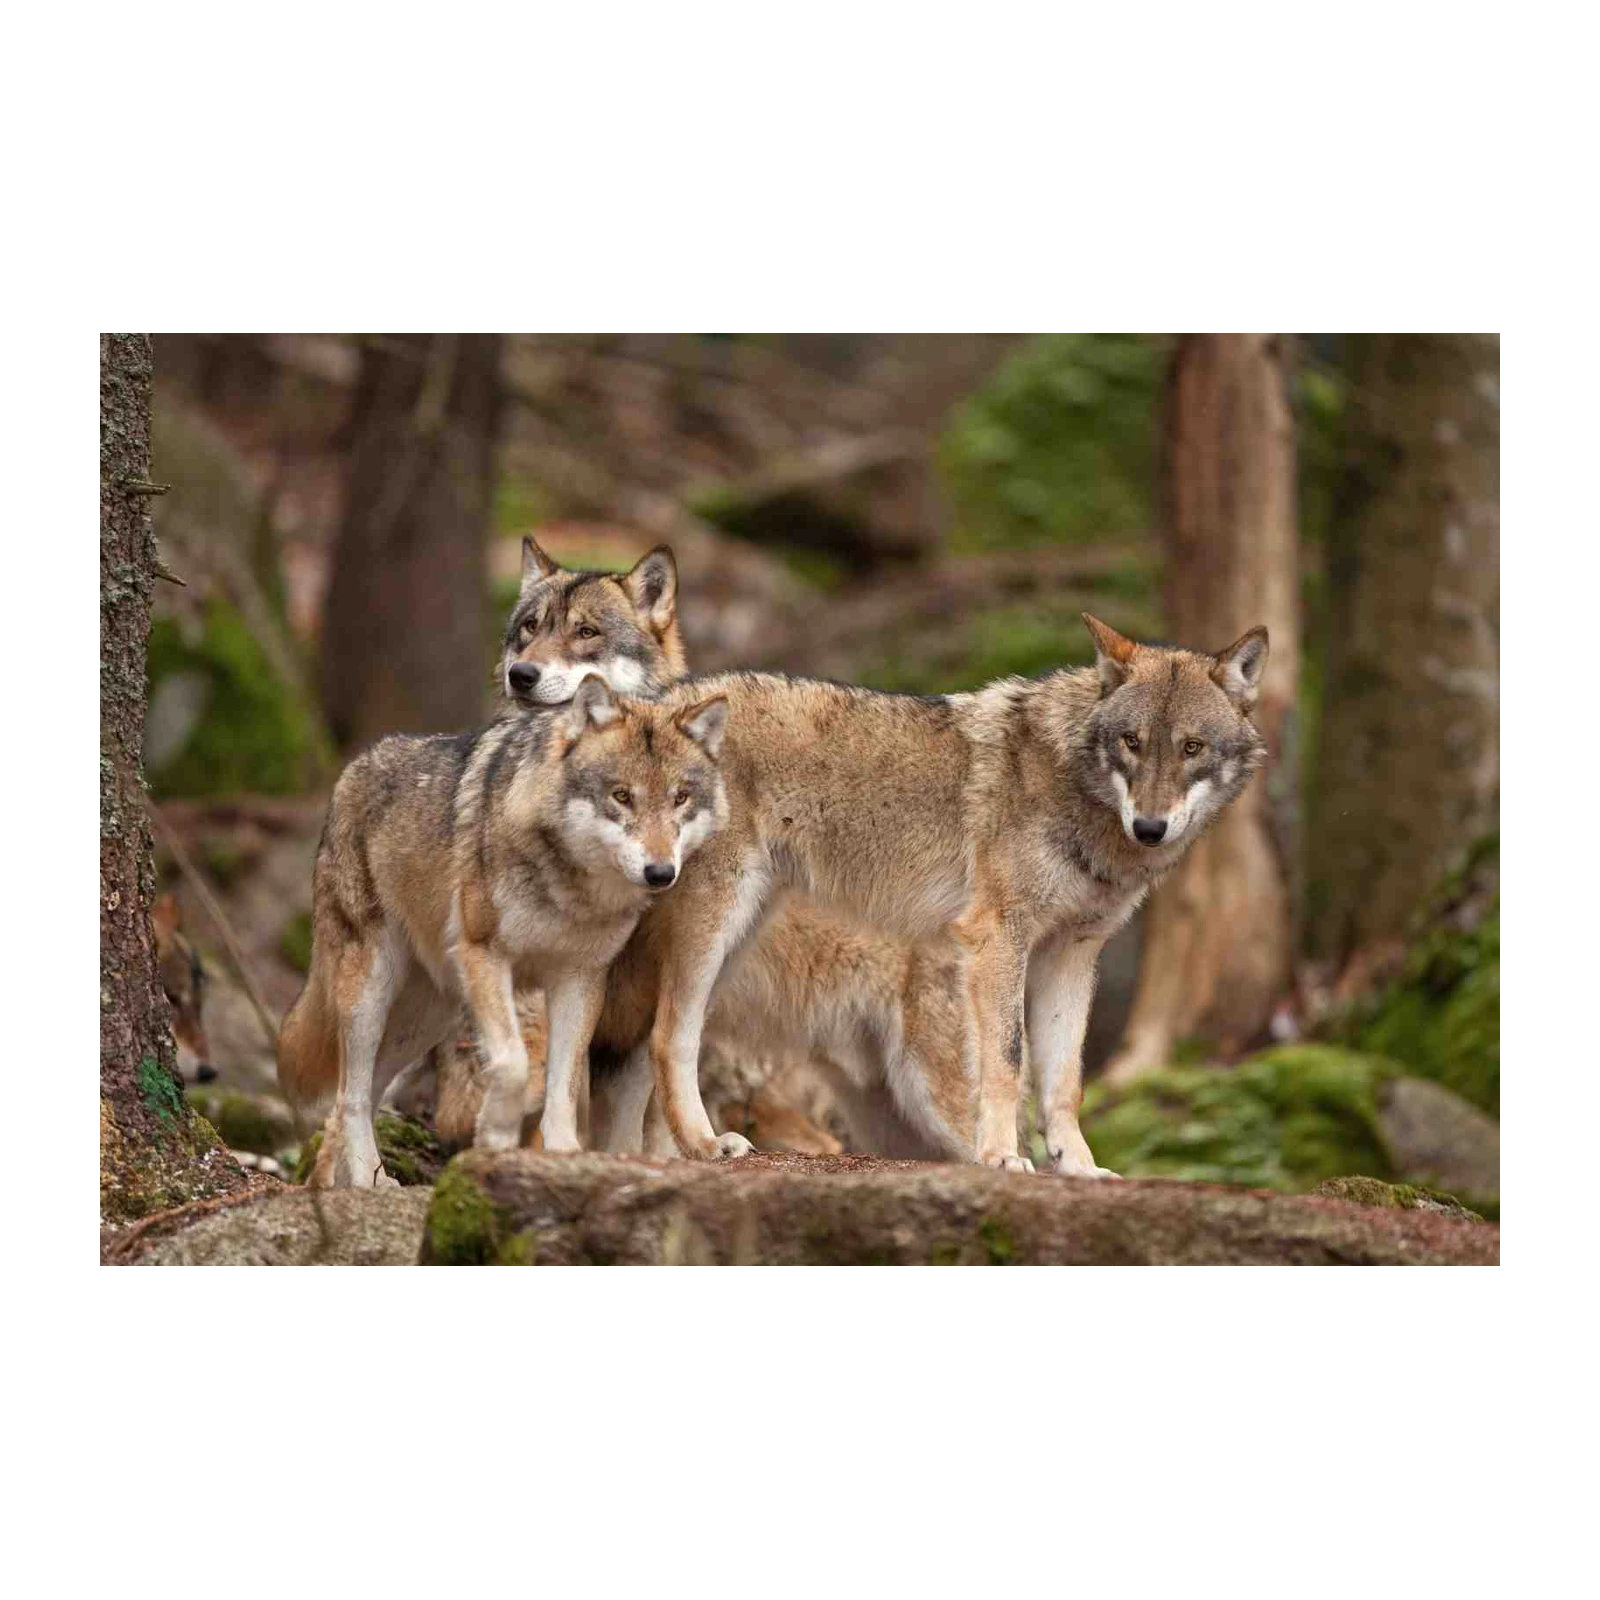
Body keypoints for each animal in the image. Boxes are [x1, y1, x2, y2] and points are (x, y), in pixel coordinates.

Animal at [275, 675, 731, 1187]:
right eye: (621, 796)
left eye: (680, 798)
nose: (660, 873)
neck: (571, 889)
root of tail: (353, 768)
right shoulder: (485, 956)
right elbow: (512, 1064)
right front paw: (493, 1135)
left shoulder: (580, 979)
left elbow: (563, 1084)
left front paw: (564, 1153)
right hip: (370, 995)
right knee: (350, 1094)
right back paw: (368, 1181)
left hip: (424, 1018)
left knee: (359, 1094)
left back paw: (346, 1181)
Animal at [591, 613, 1270, 1173]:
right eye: (1132, 741)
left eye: (1191, 747)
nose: (1151, 827)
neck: (1077, 792)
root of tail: (649, 703)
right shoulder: (998, 938)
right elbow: (1006, 1061)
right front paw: (1002, 1158)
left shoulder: (1072, 955)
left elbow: (1064, 1082)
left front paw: (1079, 1169)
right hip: (717, 930)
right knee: (668, 1039)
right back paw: (703, 1144)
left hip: (738, 945)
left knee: (643, 1051)